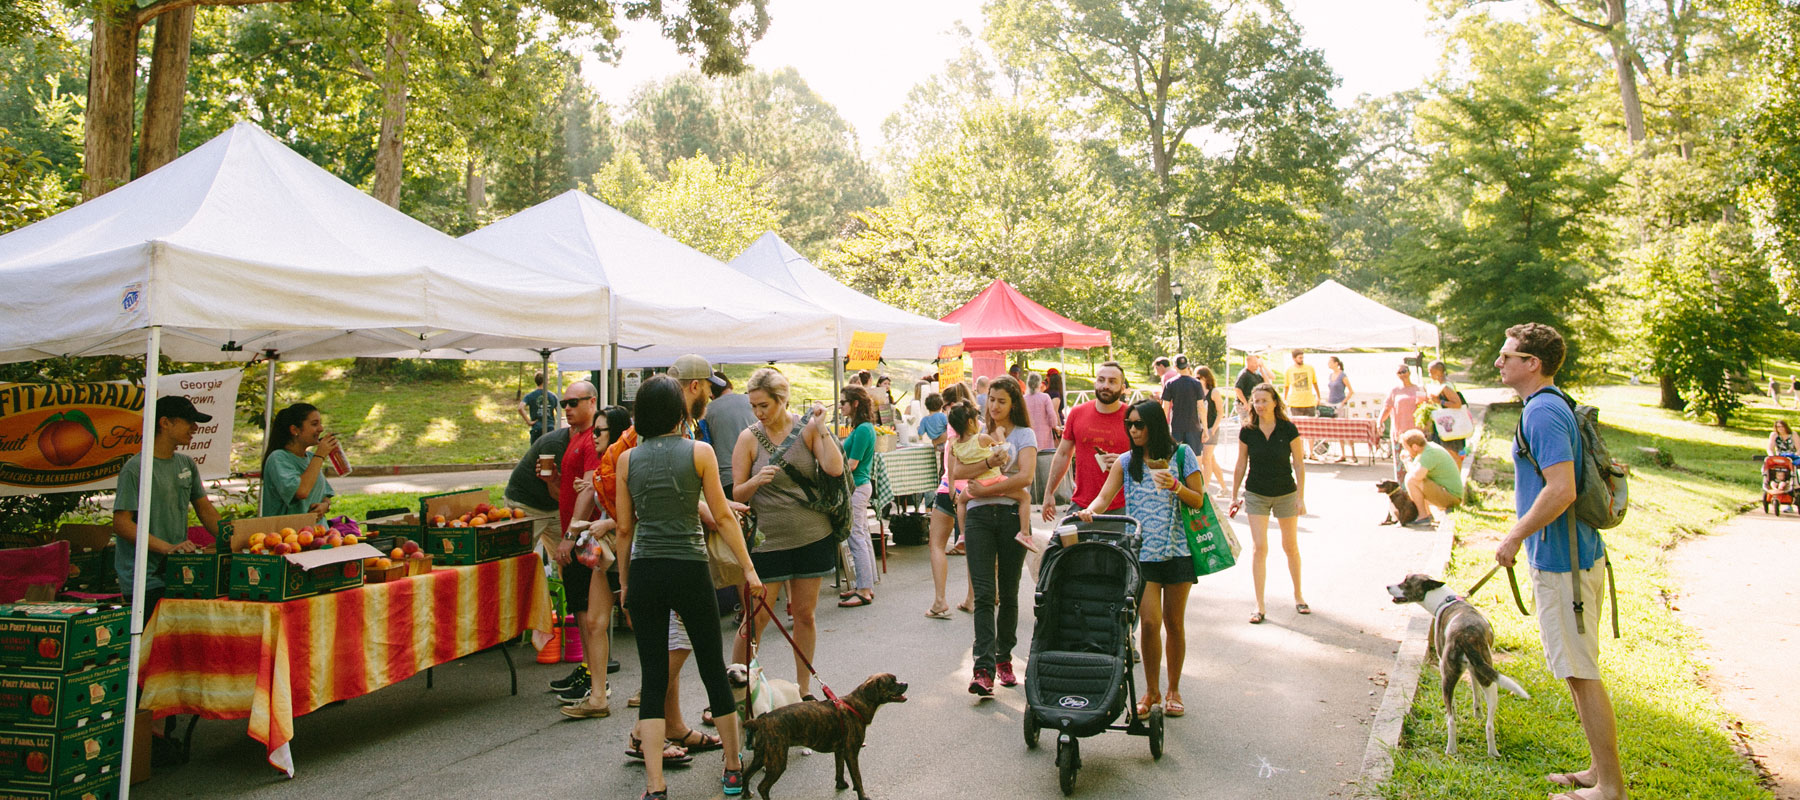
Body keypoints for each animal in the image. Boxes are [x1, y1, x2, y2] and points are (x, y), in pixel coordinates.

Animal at [738, 673, 907, 800]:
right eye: (892, 683)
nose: (905, 683)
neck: (857, 704)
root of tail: (761, 720)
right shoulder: (852, 753)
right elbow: (857, 778)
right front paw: (863, 796)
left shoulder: (840, 751)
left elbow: (839, 770)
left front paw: (841, 785)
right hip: (777, 761)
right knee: (763, 787)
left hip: (762, 756)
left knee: (746, 774)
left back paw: (746, 794)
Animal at [1382, 572, 1526, 753]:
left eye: (1406, 582)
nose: (1388, 586)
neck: (1446, 600)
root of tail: (1465, 637)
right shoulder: (1474, 670)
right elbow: (1475, 694)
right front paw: (1477, 715)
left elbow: (1454, 708)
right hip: (1490, 682)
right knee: (1490, 725)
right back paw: (1492, 752)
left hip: (1447, 678)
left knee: (1451, 721)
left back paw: (1451, 749)